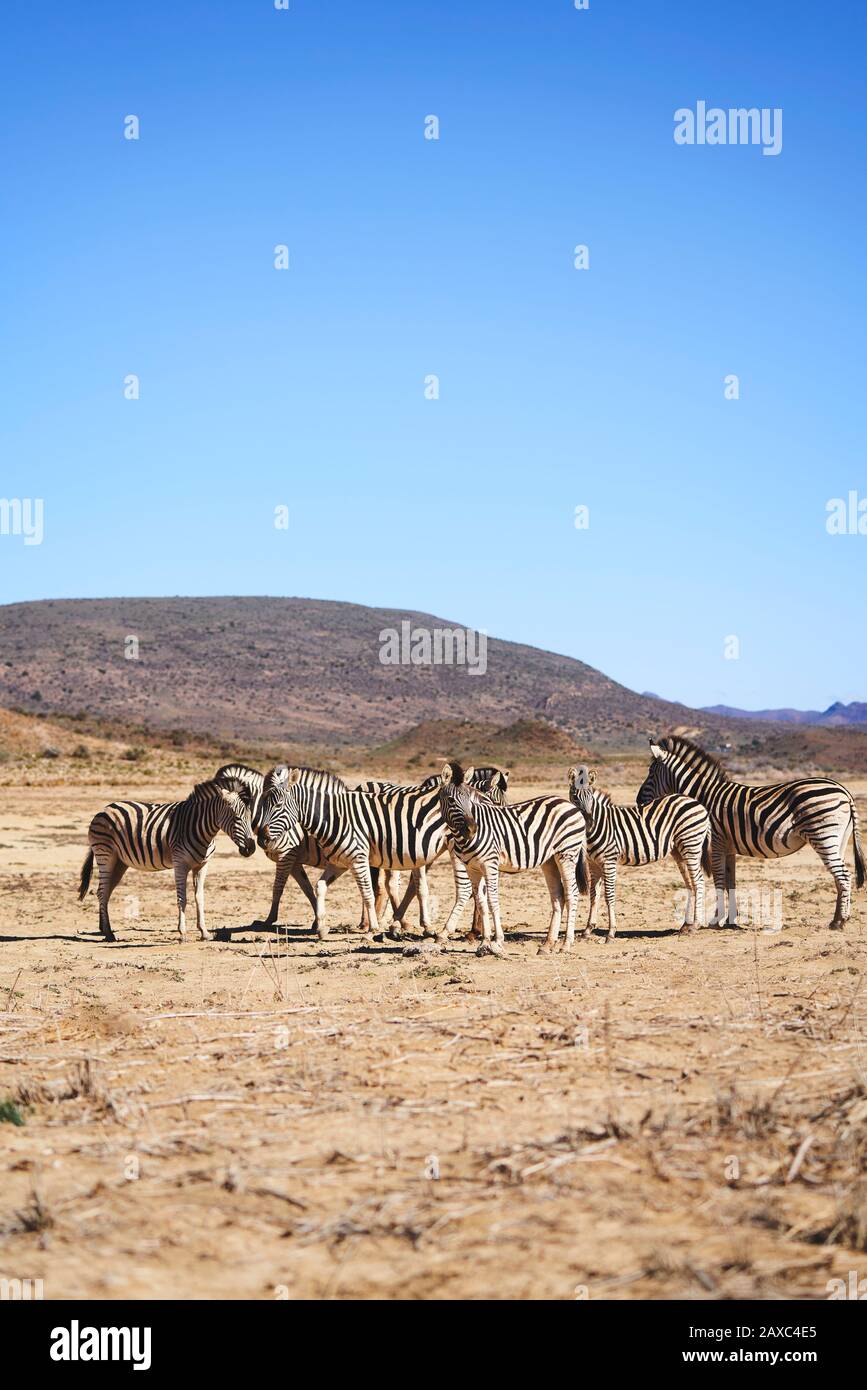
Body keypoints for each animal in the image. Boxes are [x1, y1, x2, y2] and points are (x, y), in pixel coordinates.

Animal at [78, 778, 255, 939]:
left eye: (250, 817)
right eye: (236, 818)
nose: (251, 848)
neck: (202, 830)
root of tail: (105, 809)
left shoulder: (202, 866)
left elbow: (199, 898)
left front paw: (204, 932)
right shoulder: (180, 864)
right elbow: (182, 898)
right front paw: (182, 933)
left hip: (120, 862)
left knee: (105, 891)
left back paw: (103, 929)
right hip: (105, 854)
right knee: (102, 891)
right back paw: (108, 933)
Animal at [436, 761, 586, 956]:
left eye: (470, 800)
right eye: (451, 800)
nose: (472, 829)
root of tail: (569, 805)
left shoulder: (490, 864)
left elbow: (492, 900)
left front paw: (498, 941)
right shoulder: (472, 868)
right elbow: (481, 902)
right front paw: (484, 943)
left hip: (567, 853)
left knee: (572, 892)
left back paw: (566, 944)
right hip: (550, 860)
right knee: (558, 895)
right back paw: (547, 944)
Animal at [569, 767, 711, 939]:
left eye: (590, 796)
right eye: (575, 796)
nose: (589, 822)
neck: (601, 824)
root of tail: (698, 804)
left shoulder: (609, 861)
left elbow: (609, 895)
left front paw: (611, 932)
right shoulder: (594, 864)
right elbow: (593, 895)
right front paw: (588, 929)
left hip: (691, 845)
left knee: (699, 882)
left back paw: (696, 925)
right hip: (679, 850)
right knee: (691, 884)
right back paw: (686, 926)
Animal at [633, 739, 861, 934]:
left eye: (650, 773)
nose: (638, 801)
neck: (704, 797)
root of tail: (844, 791)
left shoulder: (715, 843)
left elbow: (719, 881)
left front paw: (716, 920)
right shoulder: (729, 849)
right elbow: (730, 883)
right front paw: (731, 921)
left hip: (823, 835)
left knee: (844, 875)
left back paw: (840, 921)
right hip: (838, 840)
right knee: (838, 877)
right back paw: (836, 920)